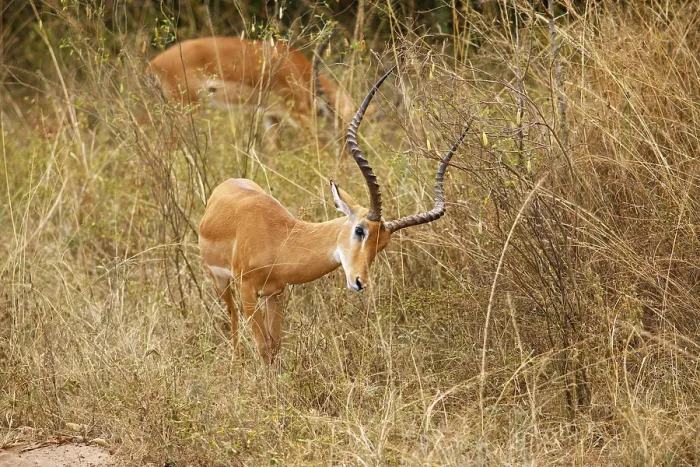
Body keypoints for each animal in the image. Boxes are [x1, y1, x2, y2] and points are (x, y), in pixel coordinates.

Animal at [198, 67, 469, 363]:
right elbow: (263, 348)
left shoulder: (277, 292)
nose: (360, 282)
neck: (279, 236)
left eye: (382, 244)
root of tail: (222, 189)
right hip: (221, 282)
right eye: (360, 230)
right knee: (232, 318)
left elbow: (275, 346)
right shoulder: (248, 291)